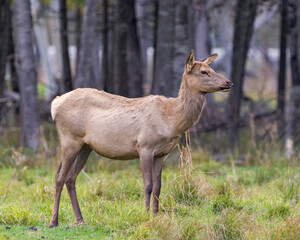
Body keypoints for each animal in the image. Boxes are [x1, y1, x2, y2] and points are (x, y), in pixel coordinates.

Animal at [49, 50, 232, 227]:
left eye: (211, 68)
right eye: (204, 72)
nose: (229, 83)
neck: (171, 120)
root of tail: (54, 105)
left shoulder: (161, 154)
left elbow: (158, 186)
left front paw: (156, 216)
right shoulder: (145, 147)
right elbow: (148, 185)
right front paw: (145, 215)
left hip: (85, 146)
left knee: (71, 178)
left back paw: (80, 219)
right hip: (69, 139)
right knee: (59, 177)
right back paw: (54, 221)